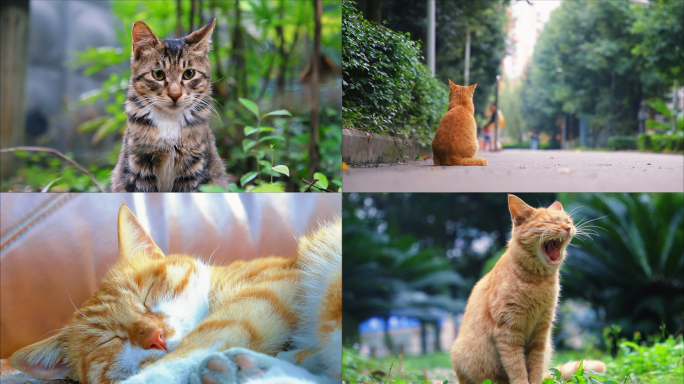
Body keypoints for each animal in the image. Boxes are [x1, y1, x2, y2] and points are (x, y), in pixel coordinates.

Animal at [109, 19, 230, 192]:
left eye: (189, 73)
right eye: (158, 74)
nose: (175, 95)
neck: (169, 122)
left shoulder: (194, 169)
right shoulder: (137, 167)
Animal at [454, 195, 604, 384]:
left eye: (568, 221)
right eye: (549, 222)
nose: (568, 228)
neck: (538, 282)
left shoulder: (541, 332)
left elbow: (536, 366)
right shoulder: (508, 331)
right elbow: (517, 367)